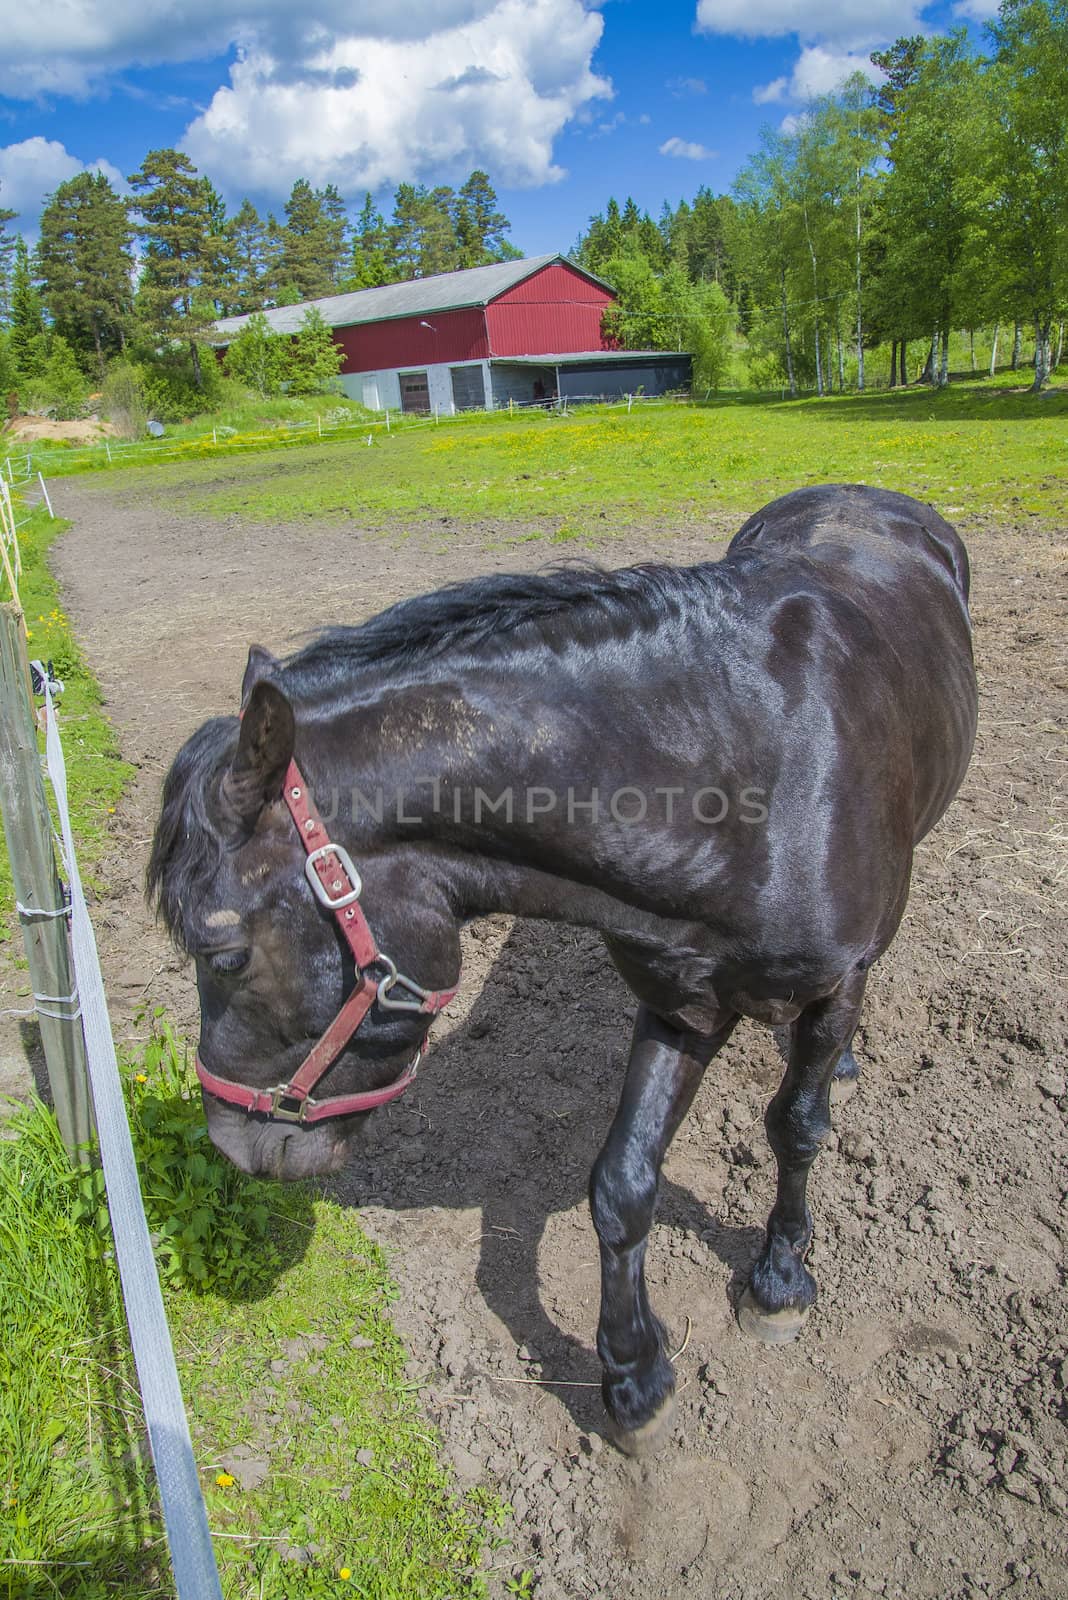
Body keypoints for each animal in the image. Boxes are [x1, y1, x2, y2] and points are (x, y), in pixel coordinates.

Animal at [147, 483, 978, 1452]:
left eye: (224, 954)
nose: (231, 1143)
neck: (748, 774)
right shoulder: (682, 1000)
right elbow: (621, 1186)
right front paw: (632, 1376)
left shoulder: (835, 982)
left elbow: (798, 1129)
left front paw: (779, 1279)